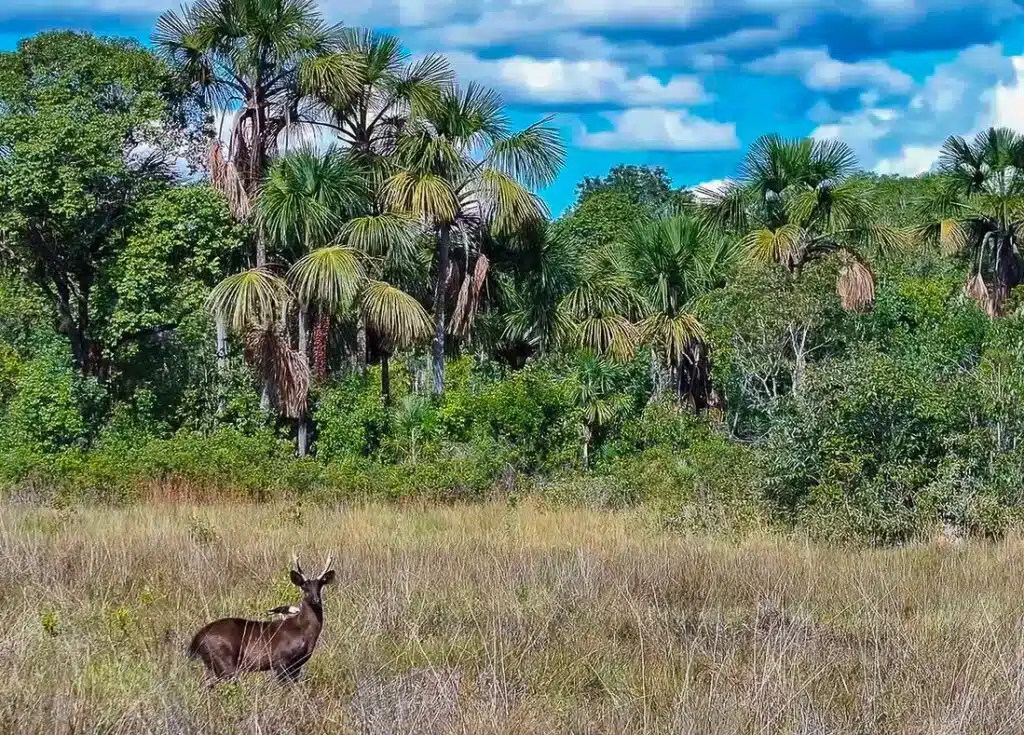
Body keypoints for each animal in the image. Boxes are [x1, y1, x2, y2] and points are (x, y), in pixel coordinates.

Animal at [187, 555, 335, 687]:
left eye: (320, 586)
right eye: (304, 587)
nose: (316, 600)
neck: (304, 631)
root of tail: (197, 639)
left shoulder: (297, 664)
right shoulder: (281, 660)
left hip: (211, 664)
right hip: (224, 660)